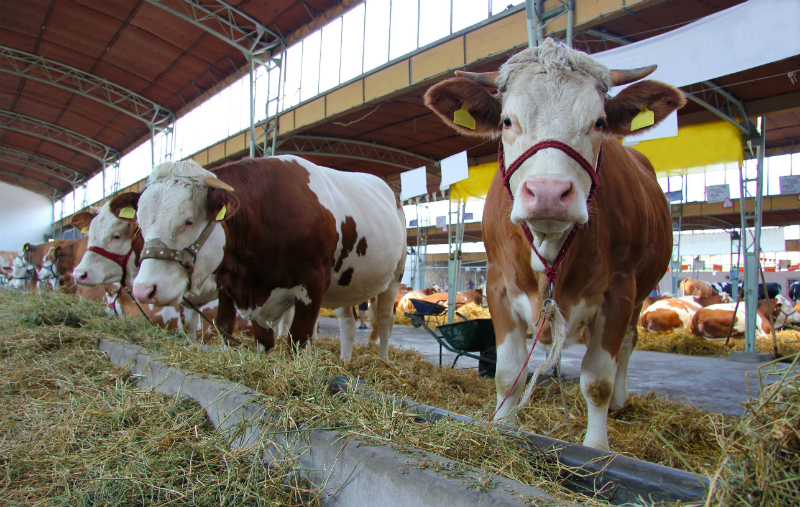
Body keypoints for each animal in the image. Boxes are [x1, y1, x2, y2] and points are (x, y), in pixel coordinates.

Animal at [130, 157, 406, 360]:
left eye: (189, 221)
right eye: (140, 224)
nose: (144, 290)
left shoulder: (313, 282)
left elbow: (298, 339)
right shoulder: (235, 286)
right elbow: (245, 333)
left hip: (394, 277)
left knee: (385, 320)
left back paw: (382, 361)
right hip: (344, 284)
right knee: (347, 322)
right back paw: (345, 361)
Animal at [422, 40, 684, 452]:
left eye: (599, 122)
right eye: (507, 121)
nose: (548, 193)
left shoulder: (619, 292)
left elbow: (598, 380)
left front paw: (597, 448)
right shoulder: (498, 285)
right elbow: (507, 372)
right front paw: (503, 428)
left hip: (642, 292)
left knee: (628, 343)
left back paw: (621, 401)